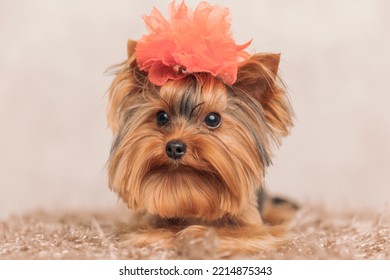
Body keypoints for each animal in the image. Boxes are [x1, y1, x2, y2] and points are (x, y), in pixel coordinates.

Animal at [106, 0, 296, 258]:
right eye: (162, 117)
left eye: (213, 119)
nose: (175, 147)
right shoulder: (145, 222)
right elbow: (150, 232)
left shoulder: (256, 229)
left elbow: (232, 234)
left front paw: (196, 237)